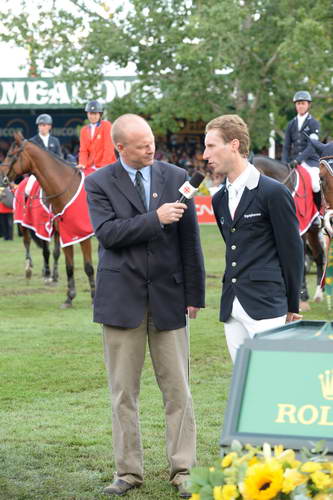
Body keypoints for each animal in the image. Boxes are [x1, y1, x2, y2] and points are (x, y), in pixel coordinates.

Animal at [1, 133, 94, 308]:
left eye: (11, 154)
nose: (2, 178)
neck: (66, 189)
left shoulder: (83, 235)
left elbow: (88, 267)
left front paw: (94, 297)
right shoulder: (65, 233)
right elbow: (69, 266)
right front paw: (69, 297)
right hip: (26, 225)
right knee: (27, 241)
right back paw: (30, 268)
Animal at [253, 154, 322, 310]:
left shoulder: (300, 232)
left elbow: (300, 263)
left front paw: (302, 297)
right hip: (313, 233)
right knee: (318, 257)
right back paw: (318, 295)